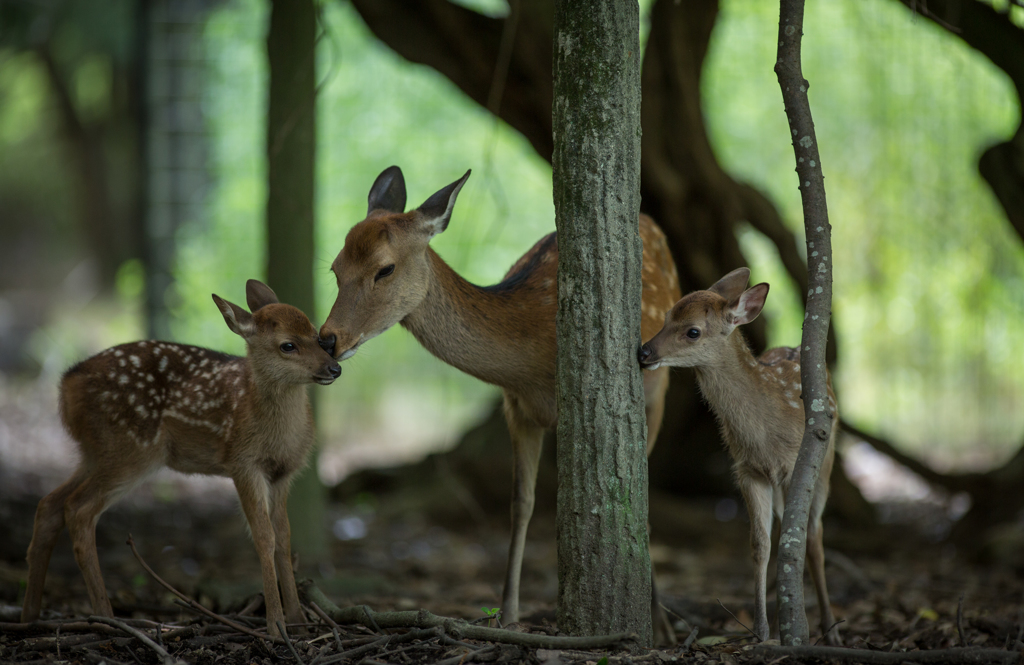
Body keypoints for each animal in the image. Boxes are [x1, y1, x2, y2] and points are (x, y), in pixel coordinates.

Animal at [20, 280, 339, 639]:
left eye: (317, 334)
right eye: (288, 345)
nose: (334, 368)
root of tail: (65, 385)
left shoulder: (284, 473)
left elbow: (284, 538)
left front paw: (298, 621)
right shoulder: (242, 463)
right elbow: (263, 537)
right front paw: (276, 625)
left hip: (94, 451)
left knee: (50, 503)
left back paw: (30, 616)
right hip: (131, 449)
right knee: (78, 508)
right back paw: (107, 617)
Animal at [321, 162, 679, 639]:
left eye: (385, 269)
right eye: (335, 268)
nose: (327, 339)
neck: (532, 365)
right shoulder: (516, 408)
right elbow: (520, 504)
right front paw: (507, 615)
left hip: (660, 388)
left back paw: (662, 620)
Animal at [638, 268, 839, 643]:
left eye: (692, 331)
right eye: (667, 315)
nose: (643, 351)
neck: (764, 434)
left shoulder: (794, 467)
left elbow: (797, 540)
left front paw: (797, 628)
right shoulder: (748, 470)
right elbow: (760, 545)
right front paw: (760, 630)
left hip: (825, 464)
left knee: (815, 536)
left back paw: (829, 628)